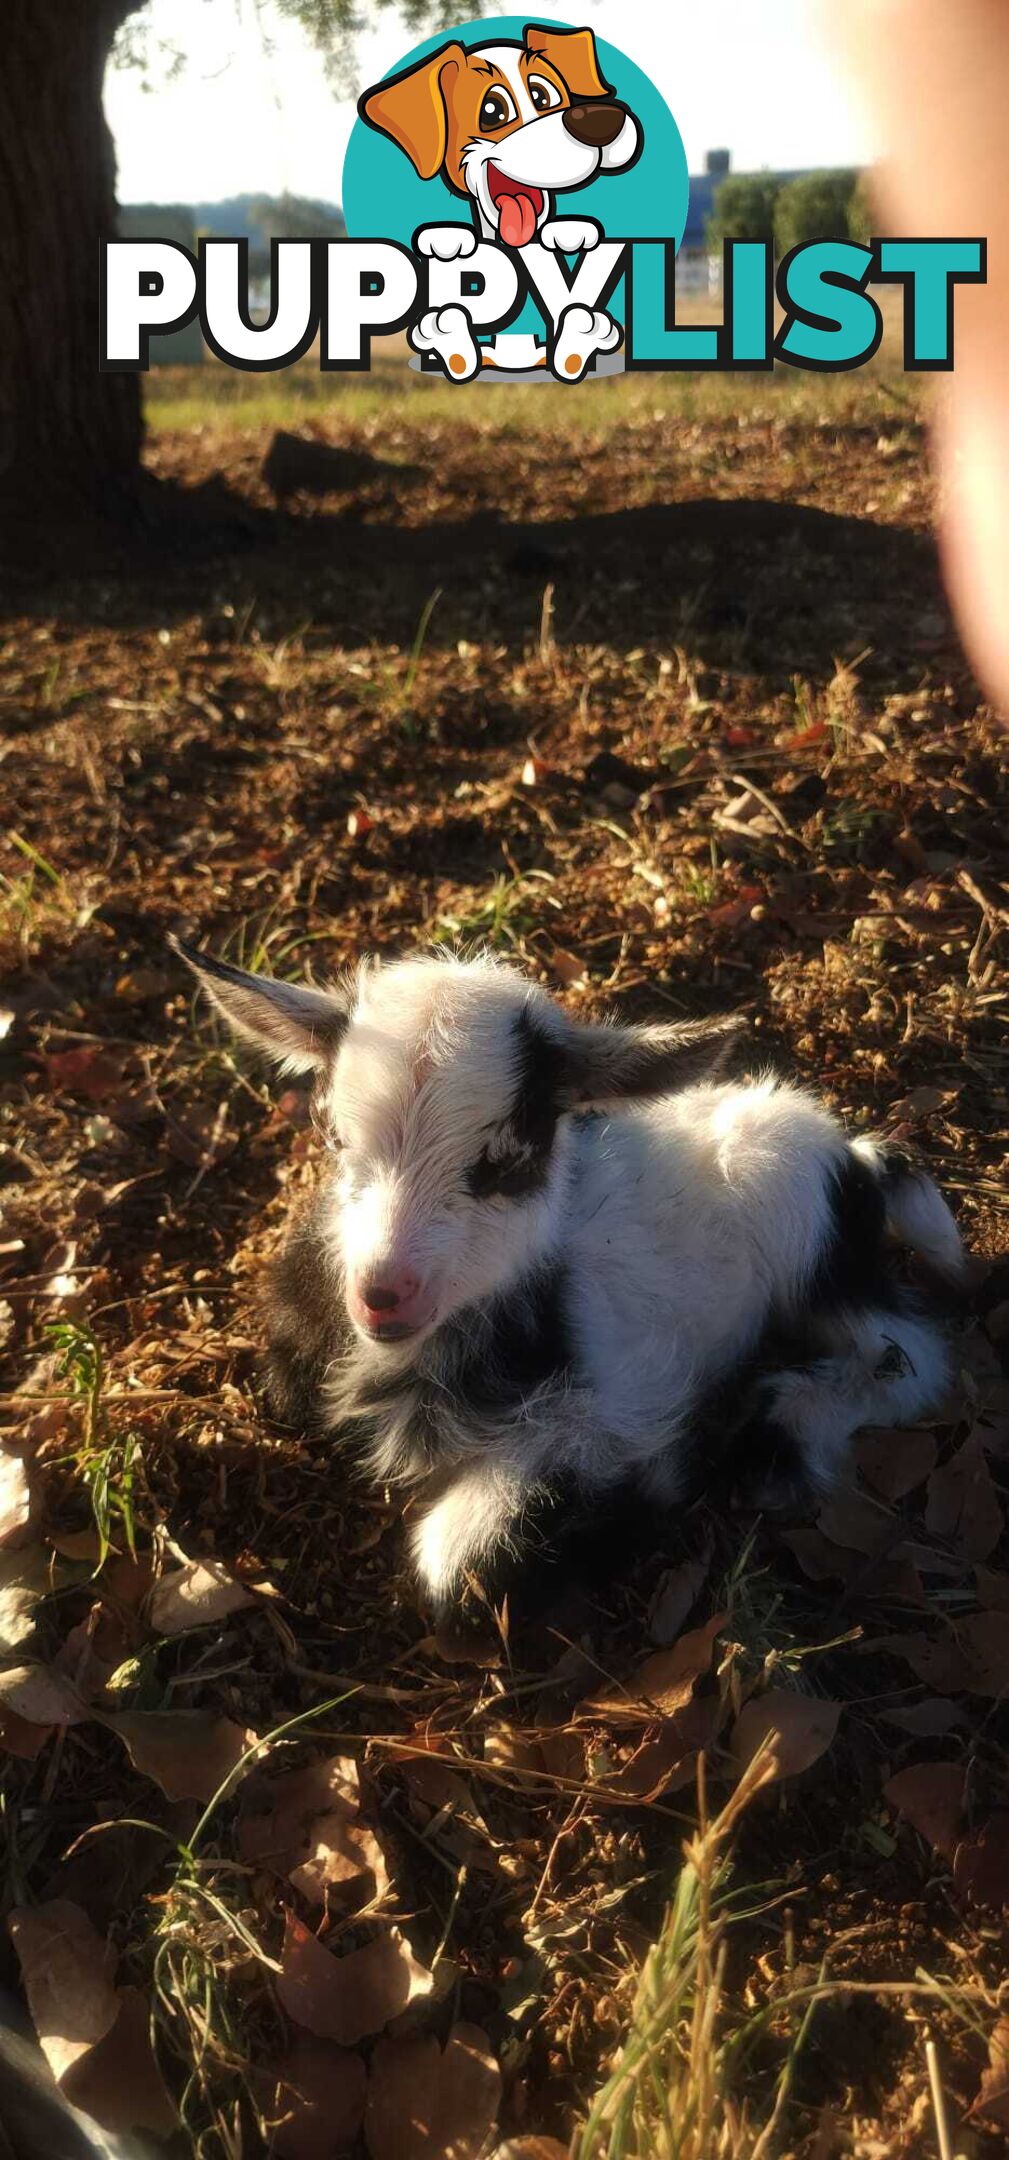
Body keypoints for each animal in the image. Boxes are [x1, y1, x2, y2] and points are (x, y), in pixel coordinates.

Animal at [176, 941, 972, 1607]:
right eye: (334, 1137)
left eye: (511, 1160)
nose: (382, 1296)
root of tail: (852, 1154)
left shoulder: (621, 1412)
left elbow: (458, 1565)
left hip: (808, 1245)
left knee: (909, 1355)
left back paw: (777, 1430)